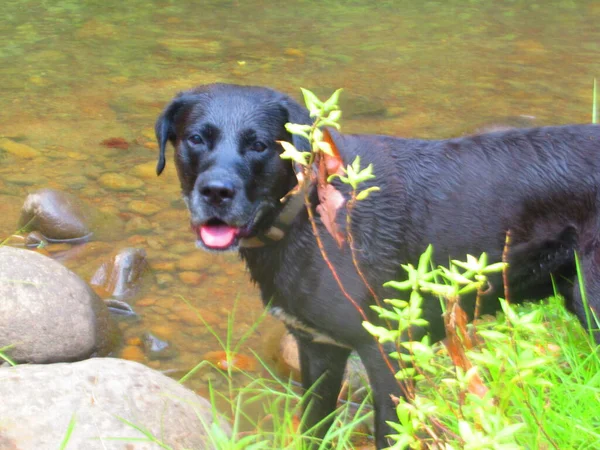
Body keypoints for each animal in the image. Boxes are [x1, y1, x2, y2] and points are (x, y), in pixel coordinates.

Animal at [156, 83, 600, 446]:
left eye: (260, 145)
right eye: (196, 139)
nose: (216, 192)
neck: (311, 213)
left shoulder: (389, 351)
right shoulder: (317, 352)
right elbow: (314, 429)